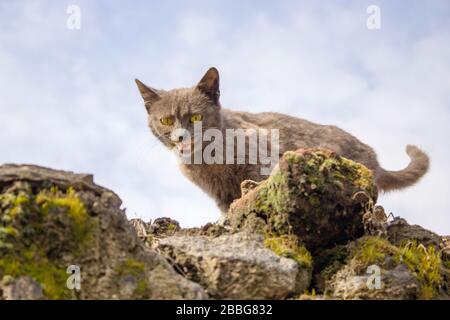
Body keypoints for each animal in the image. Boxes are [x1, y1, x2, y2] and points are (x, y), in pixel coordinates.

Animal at [134, 67, 428, 212]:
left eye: (195, 117)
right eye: (166, 121)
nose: (181, 135)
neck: (205, 162)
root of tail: (375, 159)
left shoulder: (260, 159)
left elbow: (254, 184)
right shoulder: (220, 195)